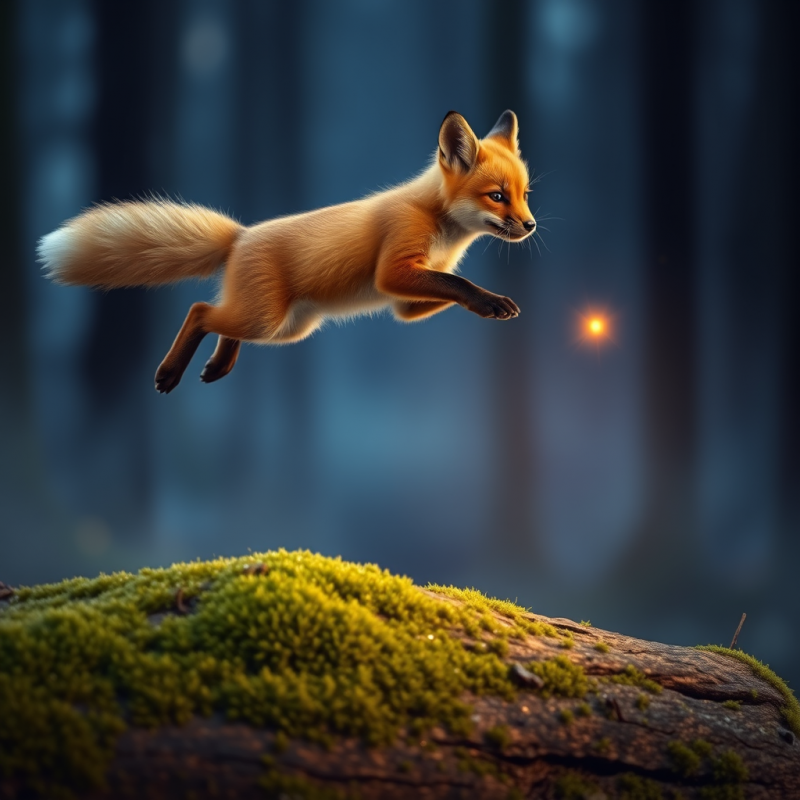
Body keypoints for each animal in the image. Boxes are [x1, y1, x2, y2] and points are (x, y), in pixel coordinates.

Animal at [37, 110, 537, 394]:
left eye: (524, 194)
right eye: (497, 197)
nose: (531, 226)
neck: (438, 225)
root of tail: (240, 236)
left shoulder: (405, 303)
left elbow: (448, 287)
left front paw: (492, 303)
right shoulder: (393, 268)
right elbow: (456, 281)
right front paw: (492, 300)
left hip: (287, 329)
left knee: (220, 321)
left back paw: (218, 366)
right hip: (266, 319)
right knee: (200, 311)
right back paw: (170, 372)